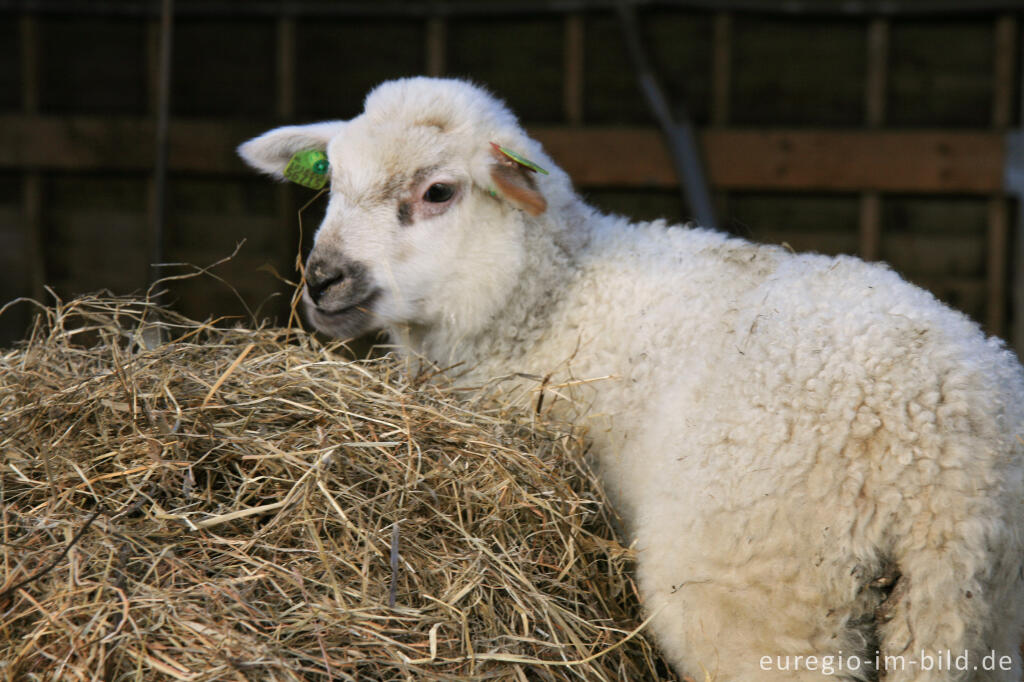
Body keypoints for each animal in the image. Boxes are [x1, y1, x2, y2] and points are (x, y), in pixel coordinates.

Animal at [239, 76, 1024, 679]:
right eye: (332, 182)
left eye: (438, 192)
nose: (323, 279)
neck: (555, 294)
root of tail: (942, 457)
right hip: (972, 621)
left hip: (769, 591)